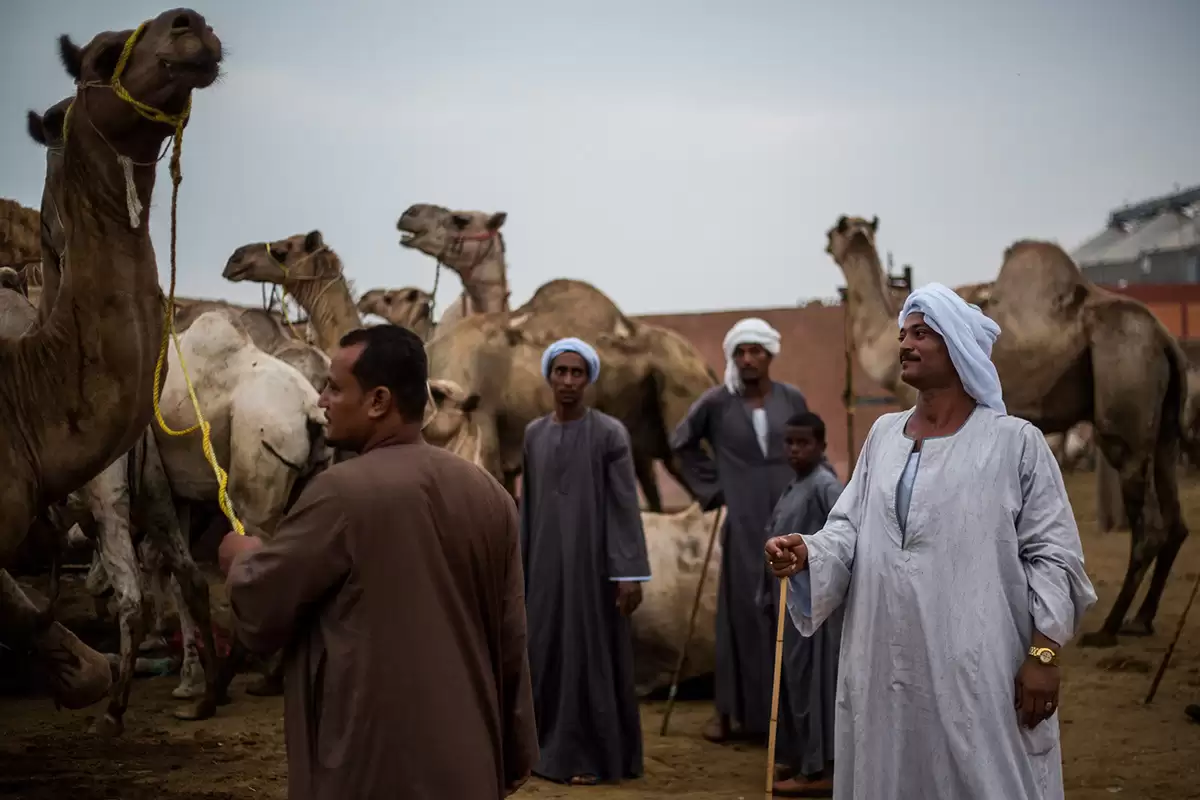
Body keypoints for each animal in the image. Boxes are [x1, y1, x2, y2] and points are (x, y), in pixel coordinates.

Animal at [825, 215, 1190, 647]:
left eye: (836, 230)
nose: (829, 242)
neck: (884, 342)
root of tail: (1165, 338)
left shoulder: (913, 400)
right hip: (1164, 425)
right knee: (1176, 519)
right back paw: (1142, 619)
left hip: (1125, 394)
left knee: (1147, 523)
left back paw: (1108, 628)